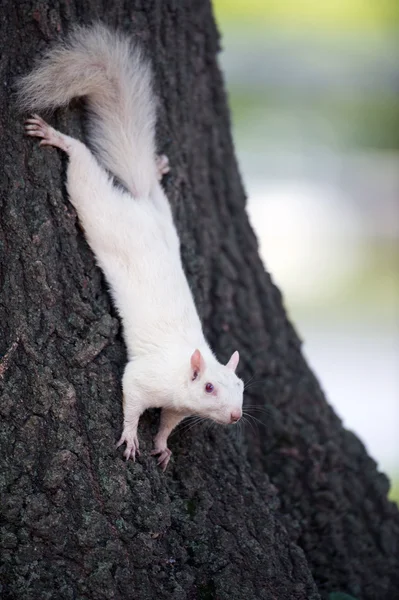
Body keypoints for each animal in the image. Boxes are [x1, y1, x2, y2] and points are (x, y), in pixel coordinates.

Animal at [18, 23, 244, 472]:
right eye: (210, 387)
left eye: (241, 384)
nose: (235, 415)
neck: (180, 373)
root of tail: (138, 207)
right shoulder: (142, 377)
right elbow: (131, 402)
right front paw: (130, 436)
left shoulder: (176, 406)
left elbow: (169, 421)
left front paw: (162, 444)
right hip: (96, 206)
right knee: (82, 166)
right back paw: (59, 139)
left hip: (164, 216)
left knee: (155, 192)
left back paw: (155, 170)